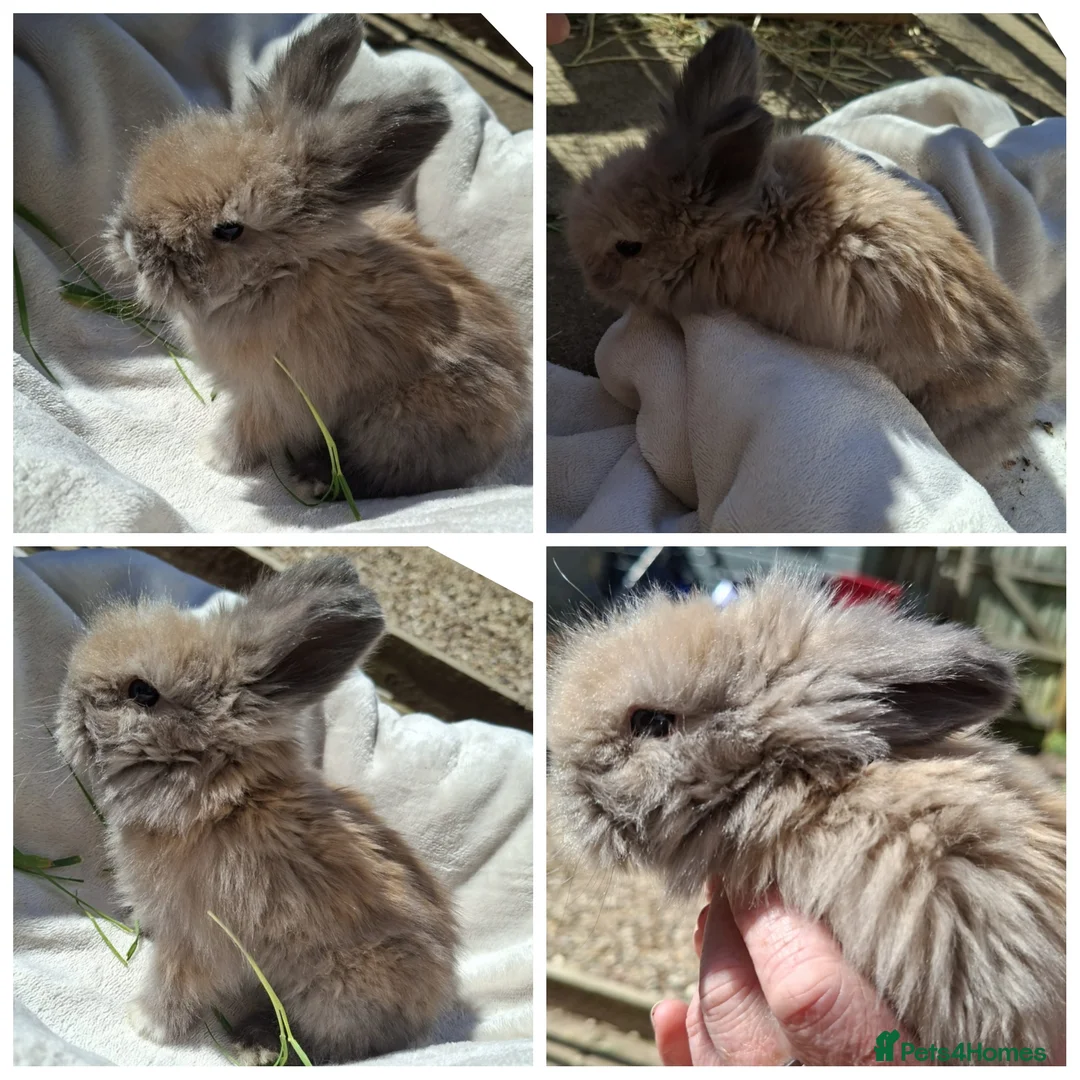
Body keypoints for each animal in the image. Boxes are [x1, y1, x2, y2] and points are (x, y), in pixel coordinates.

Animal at [54, 557, 459, 1064]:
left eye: (142, 692)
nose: (66, 705)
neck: (218, 801)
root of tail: (431, 1007)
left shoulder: (198, 940)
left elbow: (174, 985)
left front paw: (144, 1024)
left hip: (329, 995)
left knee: (327, 1046)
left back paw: (255, 1044)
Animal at [104, 14, 530, 500]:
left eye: (228, 229)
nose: (131, 247)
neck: (281, 275)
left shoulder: (275, 397)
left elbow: (246, 430)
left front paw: (213, 456)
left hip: (394, 426)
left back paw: (312, 480)